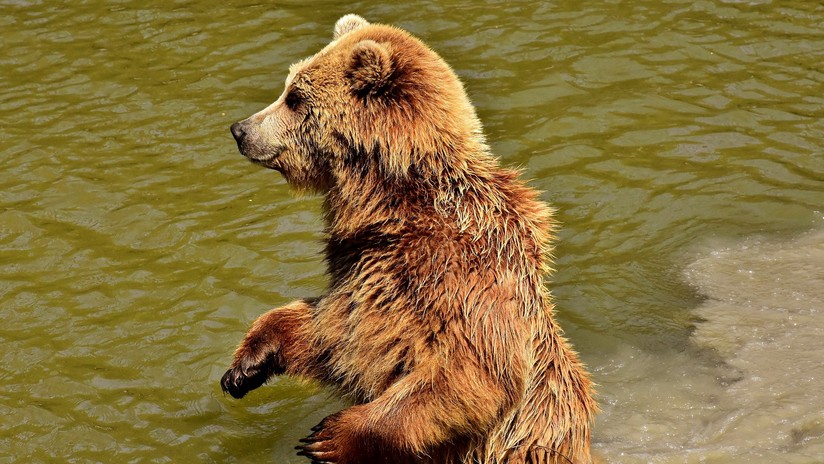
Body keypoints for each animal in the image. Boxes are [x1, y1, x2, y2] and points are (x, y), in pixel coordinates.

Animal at [222, 14, 596, 464]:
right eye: (288, 87)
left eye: (294, 97)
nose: (240, 129)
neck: (392, 202)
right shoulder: (363, 268)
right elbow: (331, 330)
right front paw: (246, 365)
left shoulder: (448, 273)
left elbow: (471, 373)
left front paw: (329, 436)